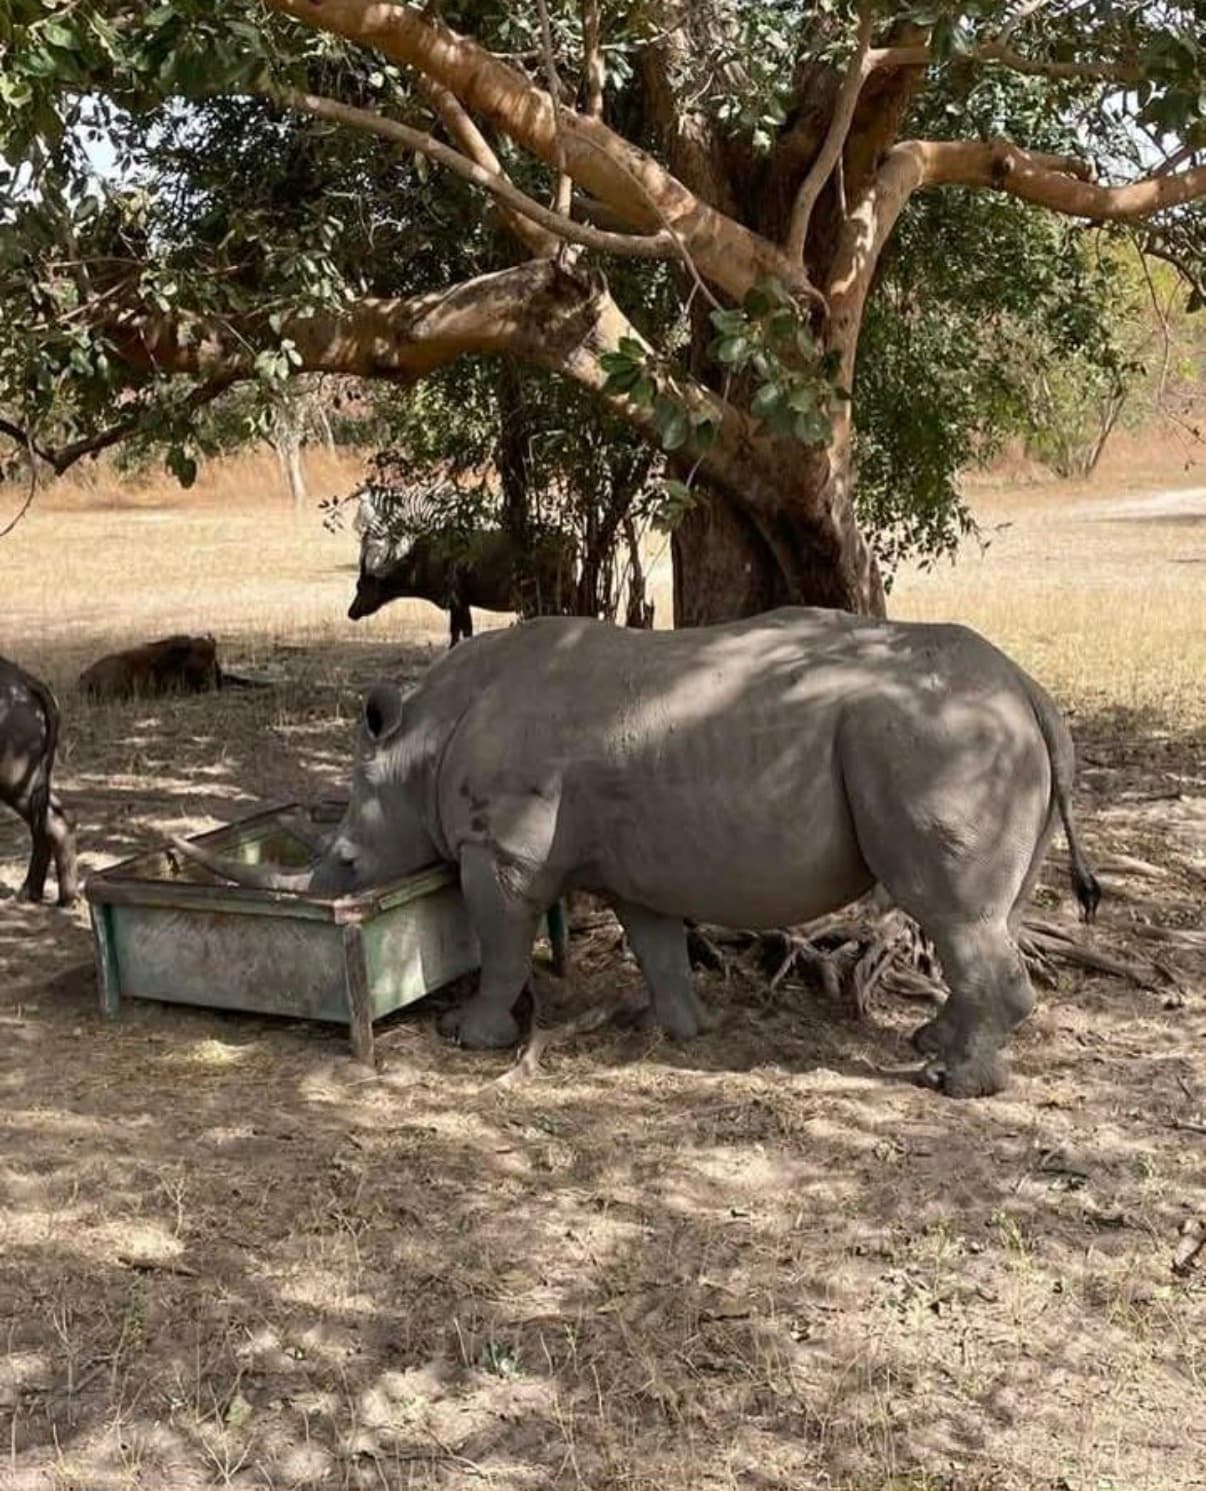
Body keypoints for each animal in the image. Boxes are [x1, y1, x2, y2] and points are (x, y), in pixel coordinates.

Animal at [172, 608, 1101, 1098]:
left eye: (347, 855)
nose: (325, 888)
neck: (418, 745)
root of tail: (1027, 688)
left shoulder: (502, 851)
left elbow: (502, 947)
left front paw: (466, 1040)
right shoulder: (633, 859)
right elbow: (656, 944)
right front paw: (689, 1032)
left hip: (937, 742)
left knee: (951, 911)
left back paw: (953, 1083)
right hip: (977, 738)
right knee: (982, 914)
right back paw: (930, 1043)